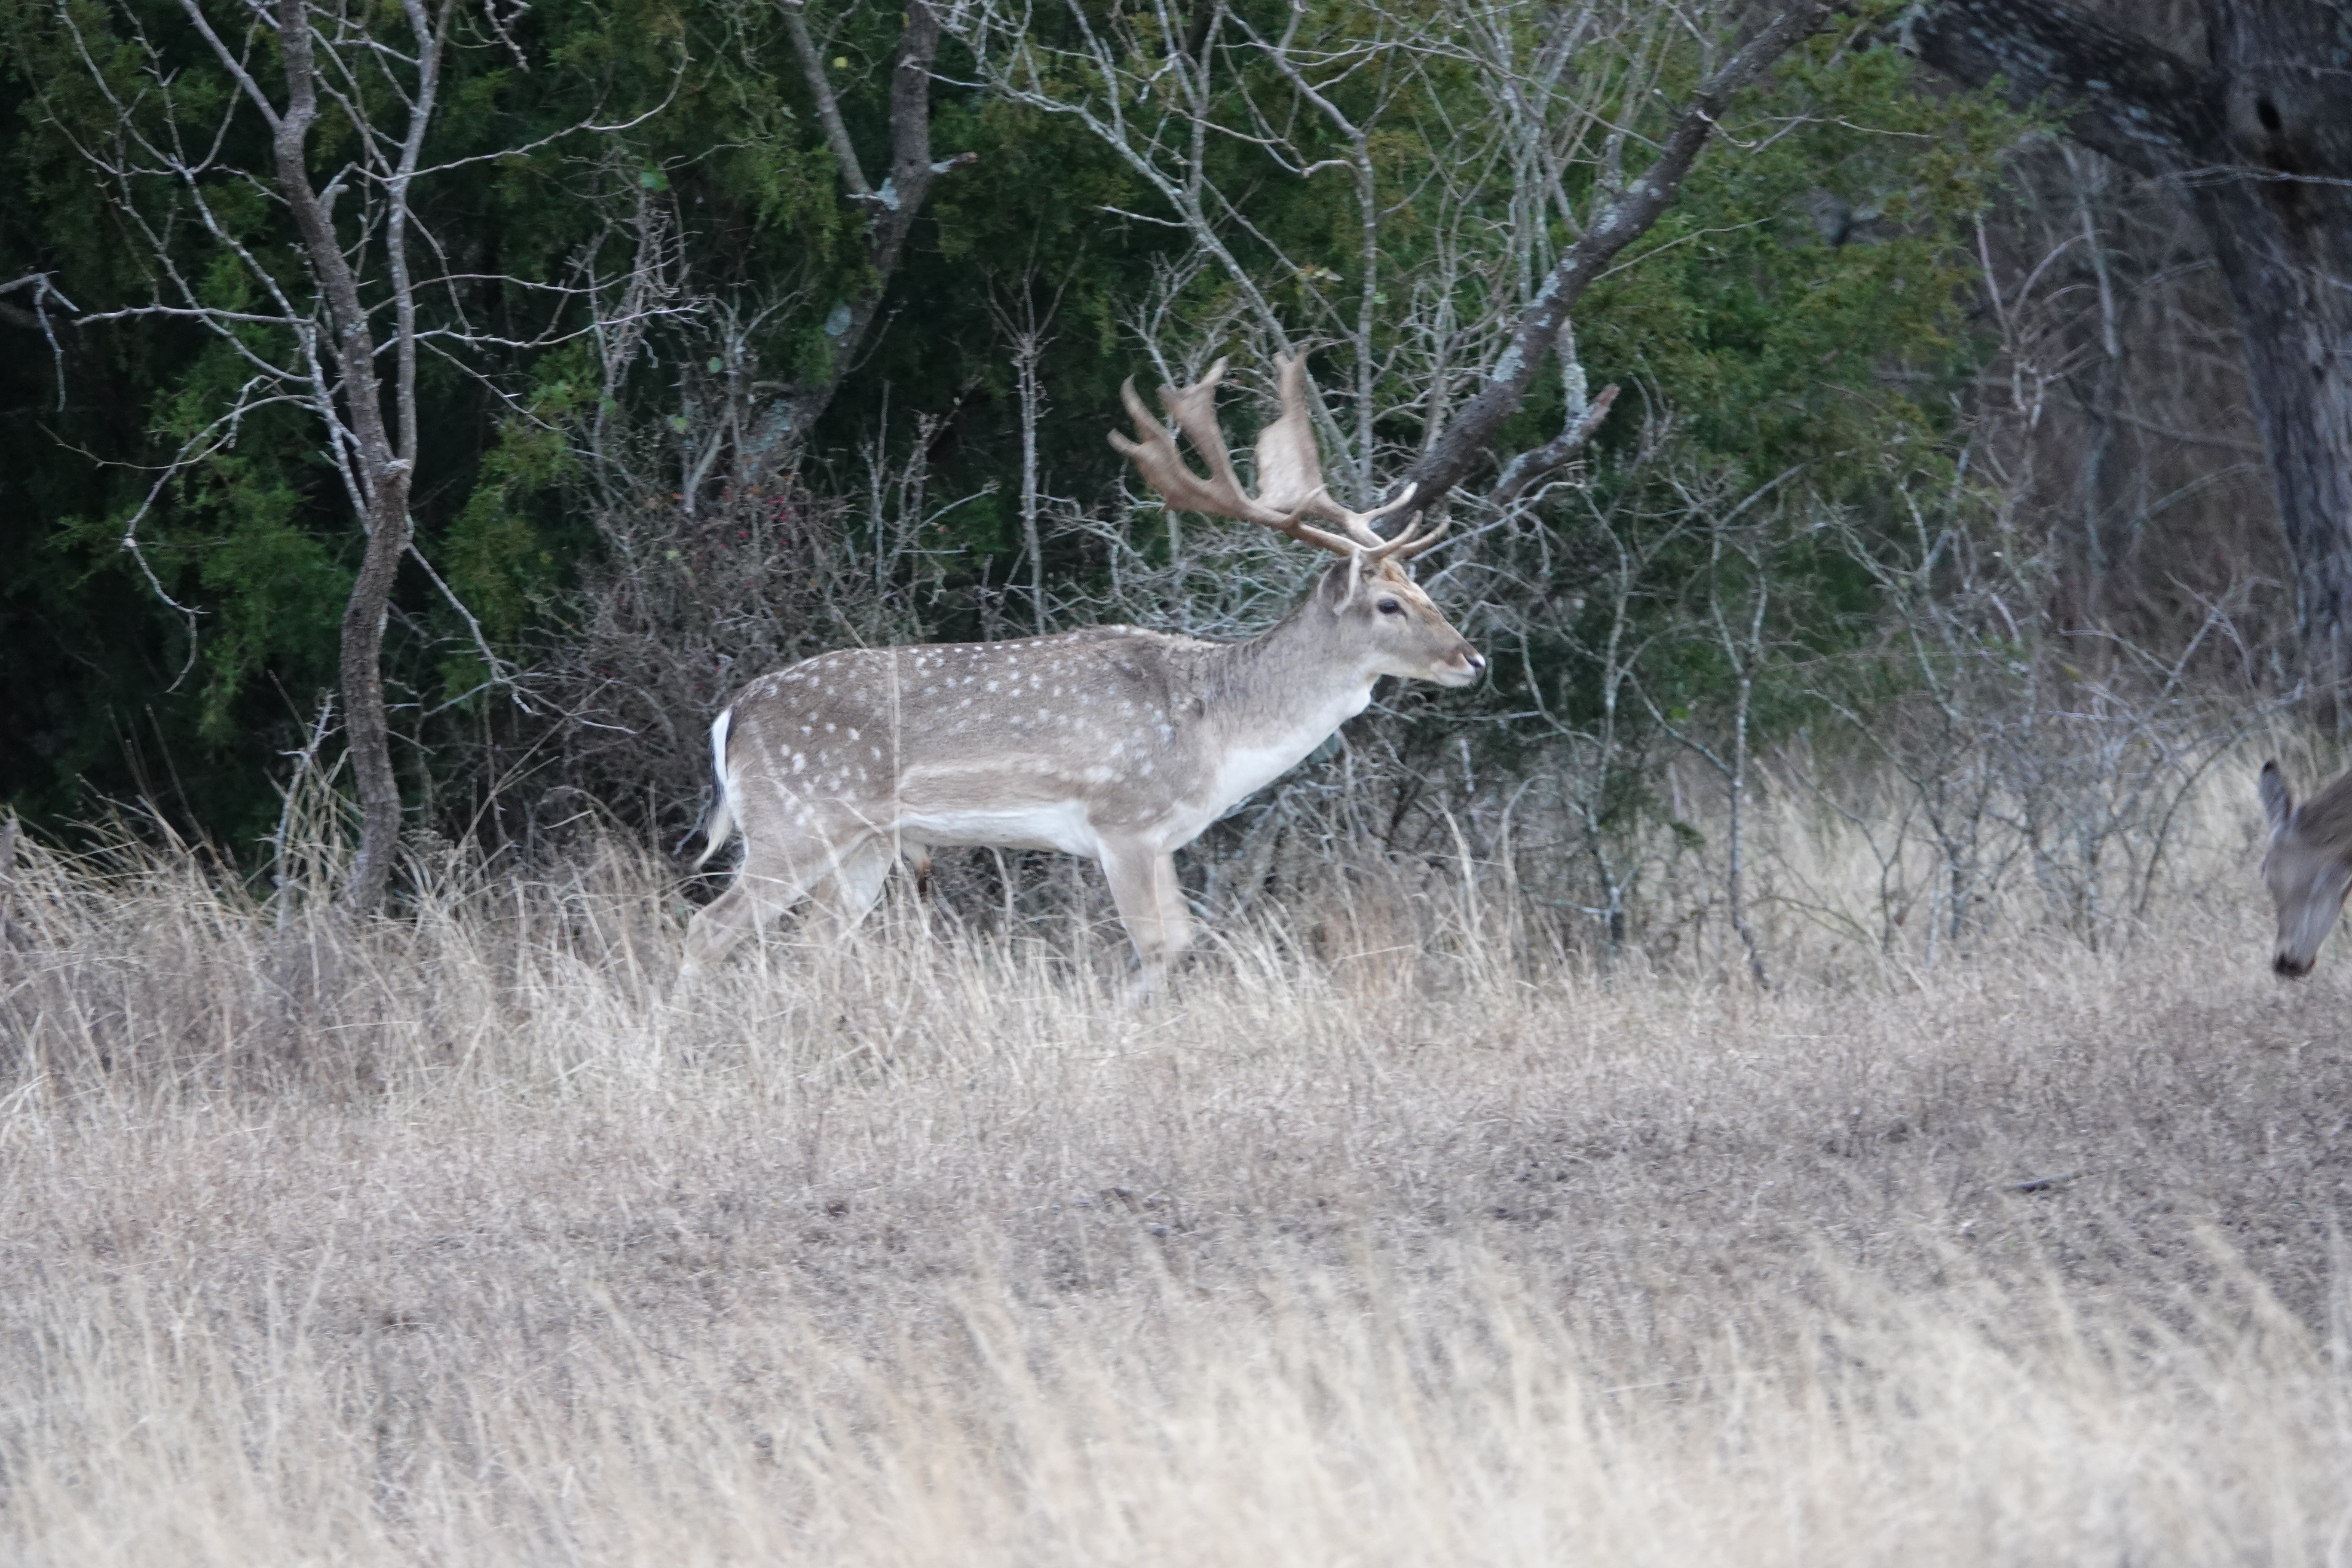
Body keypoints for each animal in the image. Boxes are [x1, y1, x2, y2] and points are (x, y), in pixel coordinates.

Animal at [677, 354, 1487, 994]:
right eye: (1387, 604)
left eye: (1423, 588)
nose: (1471, 659)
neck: (1218, 736)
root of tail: (729, 717)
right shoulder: (1122, 818)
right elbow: (1158, 944)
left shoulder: (1164, 836)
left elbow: (1182, 940)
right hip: (792, 820)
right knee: (708, 927)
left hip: (865, 840)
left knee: (815, 940)